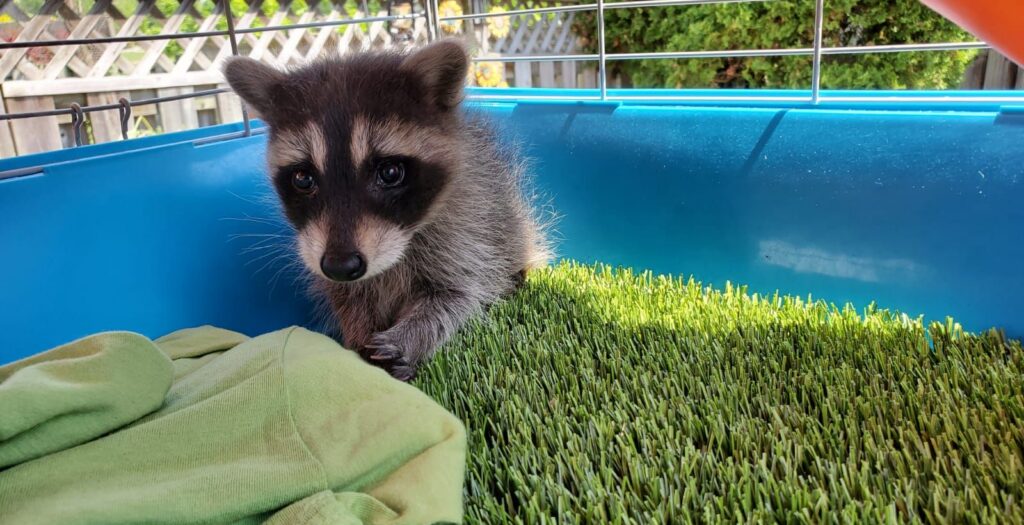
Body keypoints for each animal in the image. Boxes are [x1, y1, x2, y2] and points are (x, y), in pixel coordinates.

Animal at [223, 39, 548, 381]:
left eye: (390, 173)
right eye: (303, 178)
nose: (340, 266)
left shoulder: (471, 225)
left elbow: (458, 294)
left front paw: (410, 336)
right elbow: (347, 297)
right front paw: (357, 336)